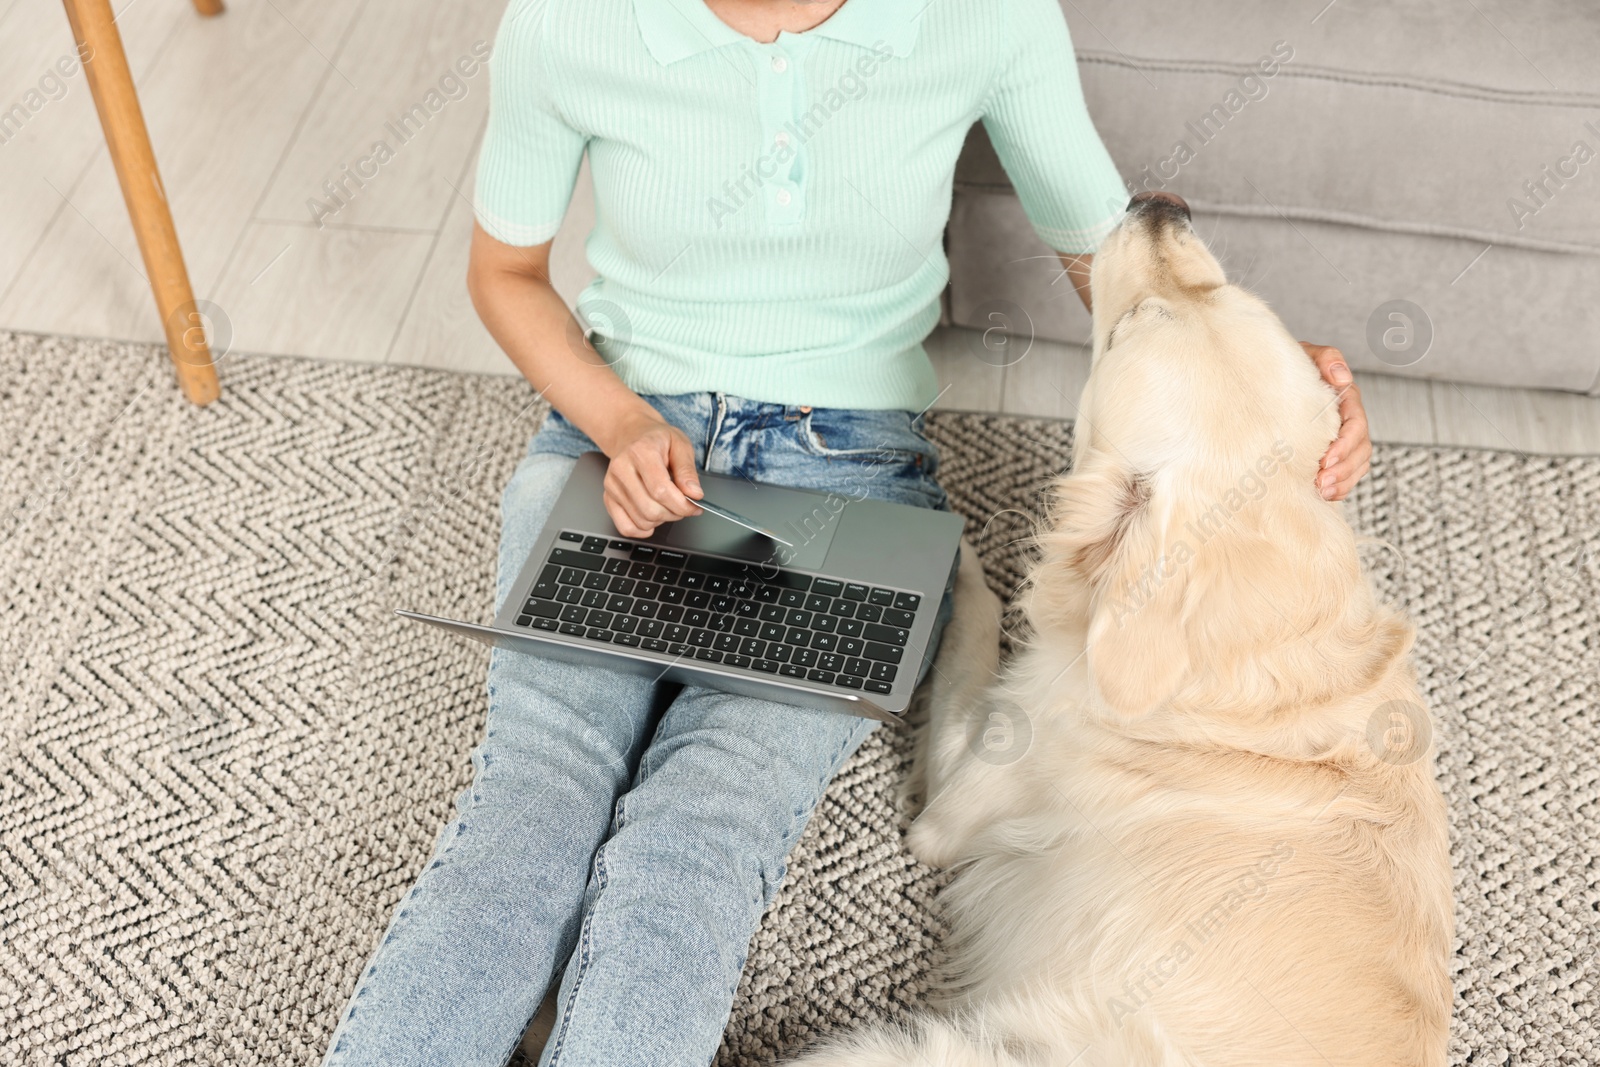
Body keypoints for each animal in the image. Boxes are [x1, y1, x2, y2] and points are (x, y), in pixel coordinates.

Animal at [793, 194, 1459, 1067]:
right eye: (1224, 290)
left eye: (1133, 323)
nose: (1161, 203)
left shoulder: (960, 805)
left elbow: (976, 636)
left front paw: (955, 552)